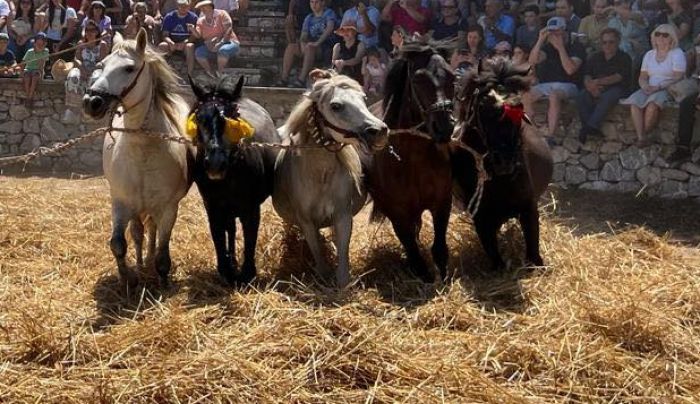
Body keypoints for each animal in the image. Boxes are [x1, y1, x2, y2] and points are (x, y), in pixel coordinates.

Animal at [83, 28, 193, 288]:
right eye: (102, 65)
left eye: (129, 69)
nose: (92, 102)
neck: (143, 151)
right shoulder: (121, 202)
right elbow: (118, 244)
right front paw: (127, 279)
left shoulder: (168, 208)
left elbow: (163, 252)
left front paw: (161, 279)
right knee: (138, 233)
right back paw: (142, 264)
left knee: (151, 231)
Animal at [190, 76, 284, 284]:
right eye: (199, 117)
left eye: (234, 116)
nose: (215, 163)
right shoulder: (212, 206)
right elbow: (218, 234)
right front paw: (226, 269)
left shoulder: (251, 208)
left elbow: (250, 236)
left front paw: (247, 273)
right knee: (230, 229)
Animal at [452, 57, 556, 272]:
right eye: (483, 105)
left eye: (520, 107)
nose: (505, 161)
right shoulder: (481, 217)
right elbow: (493, 252)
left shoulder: (528, 207)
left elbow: (533, 244)